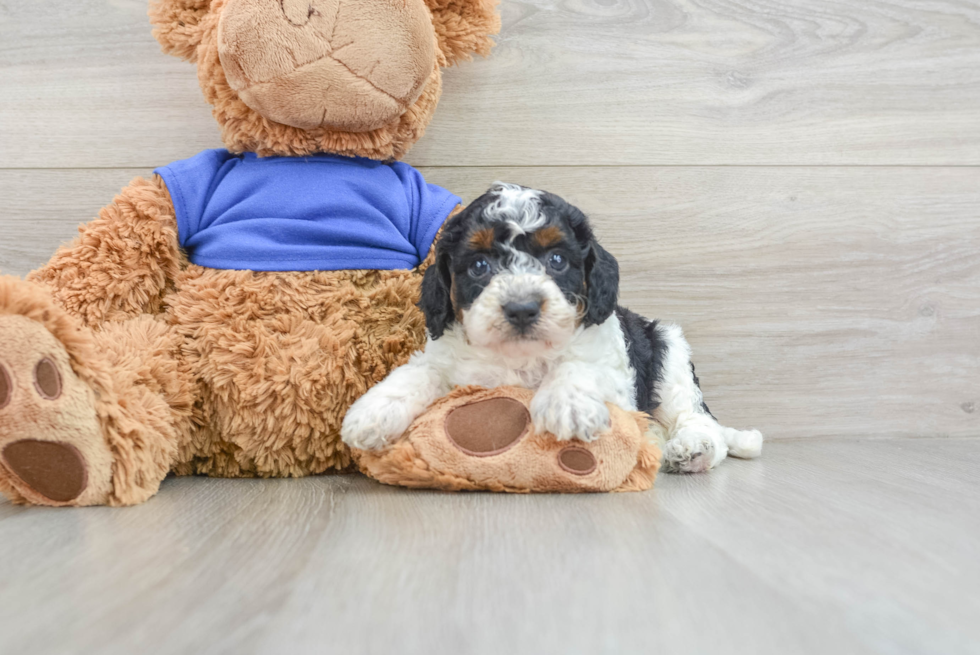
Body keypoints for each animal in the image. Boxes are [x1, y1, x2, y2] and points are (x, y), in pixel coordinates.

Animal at [340, 182, 760, 474]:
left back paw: (692, 449)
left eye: (557, 260)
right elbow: (419, 372)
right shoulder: (449, 357)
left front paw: (568, 404)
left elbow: (579, 365)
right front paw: (372, 411)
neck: (520, 355)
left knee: (697, 418)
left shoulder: (613, 368)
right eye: (479, 266)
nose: (522, 309)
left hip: (668, 350)